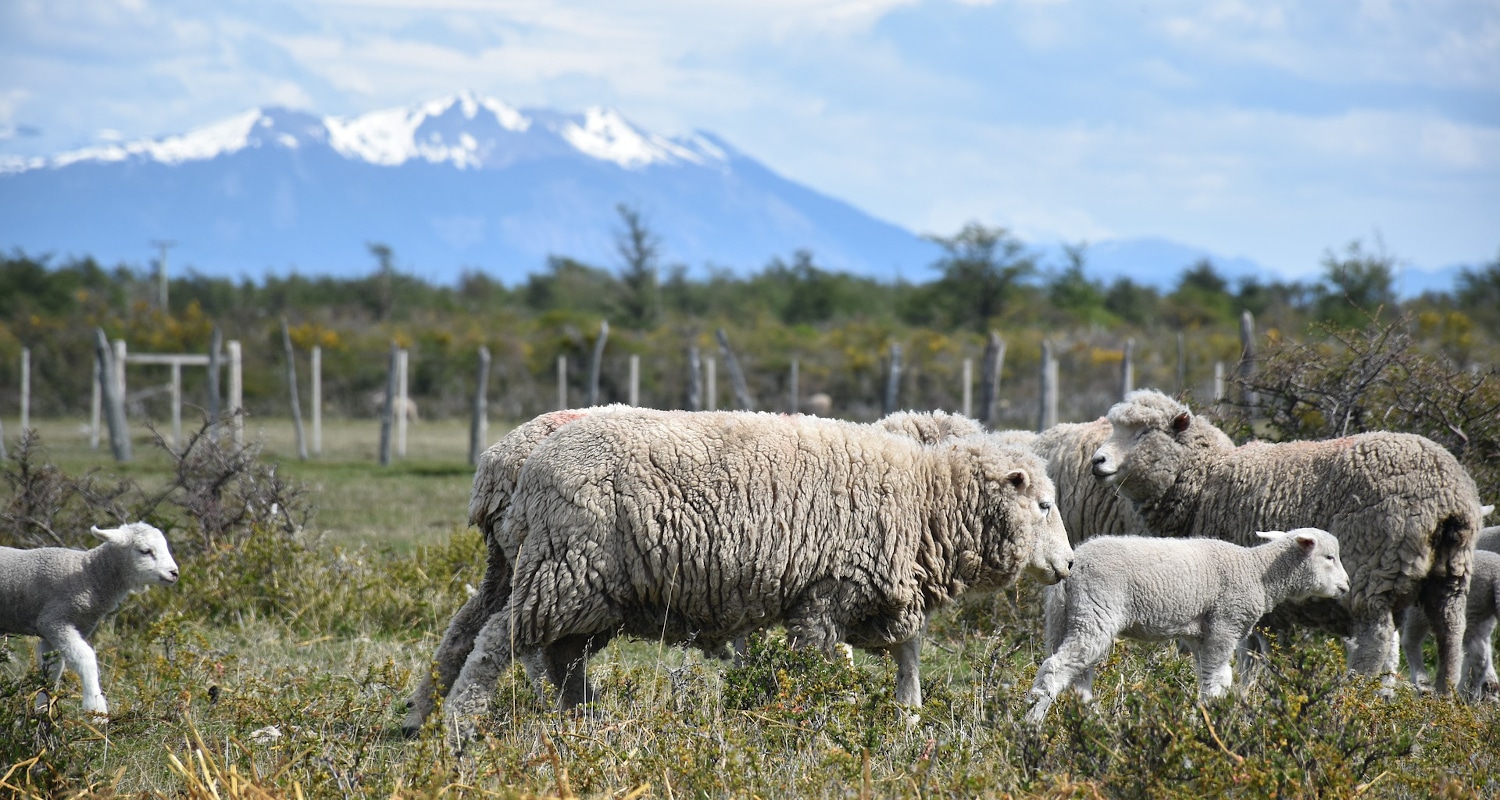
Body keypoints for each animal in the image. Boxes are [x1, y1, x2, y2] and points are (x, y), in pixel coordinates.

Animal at [0, 522, 180, 714]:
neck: (89, 575)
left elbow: (52, 670)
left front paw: (41, 711)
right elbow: (85, 658)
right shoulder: (54, 621)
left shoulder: (54, 631)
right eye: (145, 551)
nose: (174, 573)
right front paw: (96, 707)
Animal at [438, 408, 1074, 738]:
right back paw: (460, 726)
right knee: (498, 642)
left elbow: (907, 653)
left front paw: (908, 716)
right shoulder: (827, 593)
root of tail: (512, 467)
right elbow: (823, 663)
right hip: (563, 570)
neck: (923, 499)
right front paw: (825, 718)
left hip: (554, 579)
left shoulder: (878, 593)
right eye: (1044, 505)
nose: (1069, 565)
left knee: (488, 638)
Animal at [1026, 528, 1356, 720]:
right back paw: (1033, 725)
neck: (1257, 572)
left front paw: (1209, 716)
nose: (1346, 586)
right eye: (1329, 557)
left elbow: (1213, 680)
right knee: (1055, 669)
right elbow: (1217, 682)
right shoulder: (1225, 625)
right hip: (1095, 611)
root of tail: (1073, 564)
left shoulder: (1202, 635)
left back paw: (1092, 724)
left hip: (1064, 616)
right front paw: (1213, 722)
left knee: (1076, 677)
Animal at [1086, 387, 1482, 693]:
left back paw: (1354, 697)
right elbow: (1267, 653)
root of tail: (1449, 496)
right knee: (1450, 634)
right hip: (1451, 573)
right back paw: (1443, 698)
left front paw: (1249, 694)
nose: (1097, 461)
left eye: (1143, 434)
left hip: (1372, 569)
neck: (1204, 480)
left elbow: (1252, 653)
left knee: (1376, 640)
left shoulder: (1250, 594)